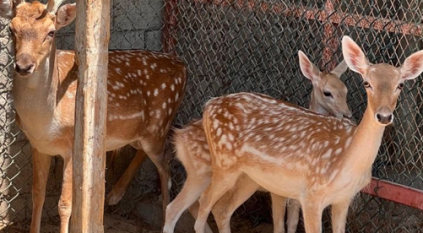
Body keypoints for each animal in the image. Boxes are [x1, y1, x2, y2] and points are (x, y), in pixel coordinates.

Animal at [0, 0, 187, 232]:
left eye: (51, 32)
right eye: (11, 29)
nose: (24, 65)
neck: (44, 122)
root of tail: (182, 64)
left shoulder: (73, 144)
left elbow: (65, 204)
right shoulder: (39, 145)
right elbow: (38, 195)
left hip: (160, 121)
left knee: (166, 168)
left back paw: (163, 223)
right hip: (141, 132)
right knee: (145, 153)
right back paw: (115, 194)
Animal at [164, 51, 352, 233]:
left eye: (345, 90)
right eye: (327, 92)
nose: (347, 114)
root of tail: (179, 138)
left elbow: (292, 223)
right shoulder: (279, 189)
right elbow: (280, 225)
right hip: (204, 172)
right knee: (182, 207)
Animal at [193, 35, 423, 233]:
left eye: (400, 85)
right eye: (367, 83)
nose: (383, 116)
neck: (346, 160)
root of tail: (209, 105)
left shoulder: (344, 199)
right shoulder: (311, 195)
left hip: (249, 177)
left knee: (221, 210)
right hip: (224, 163)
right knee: (203, 201)